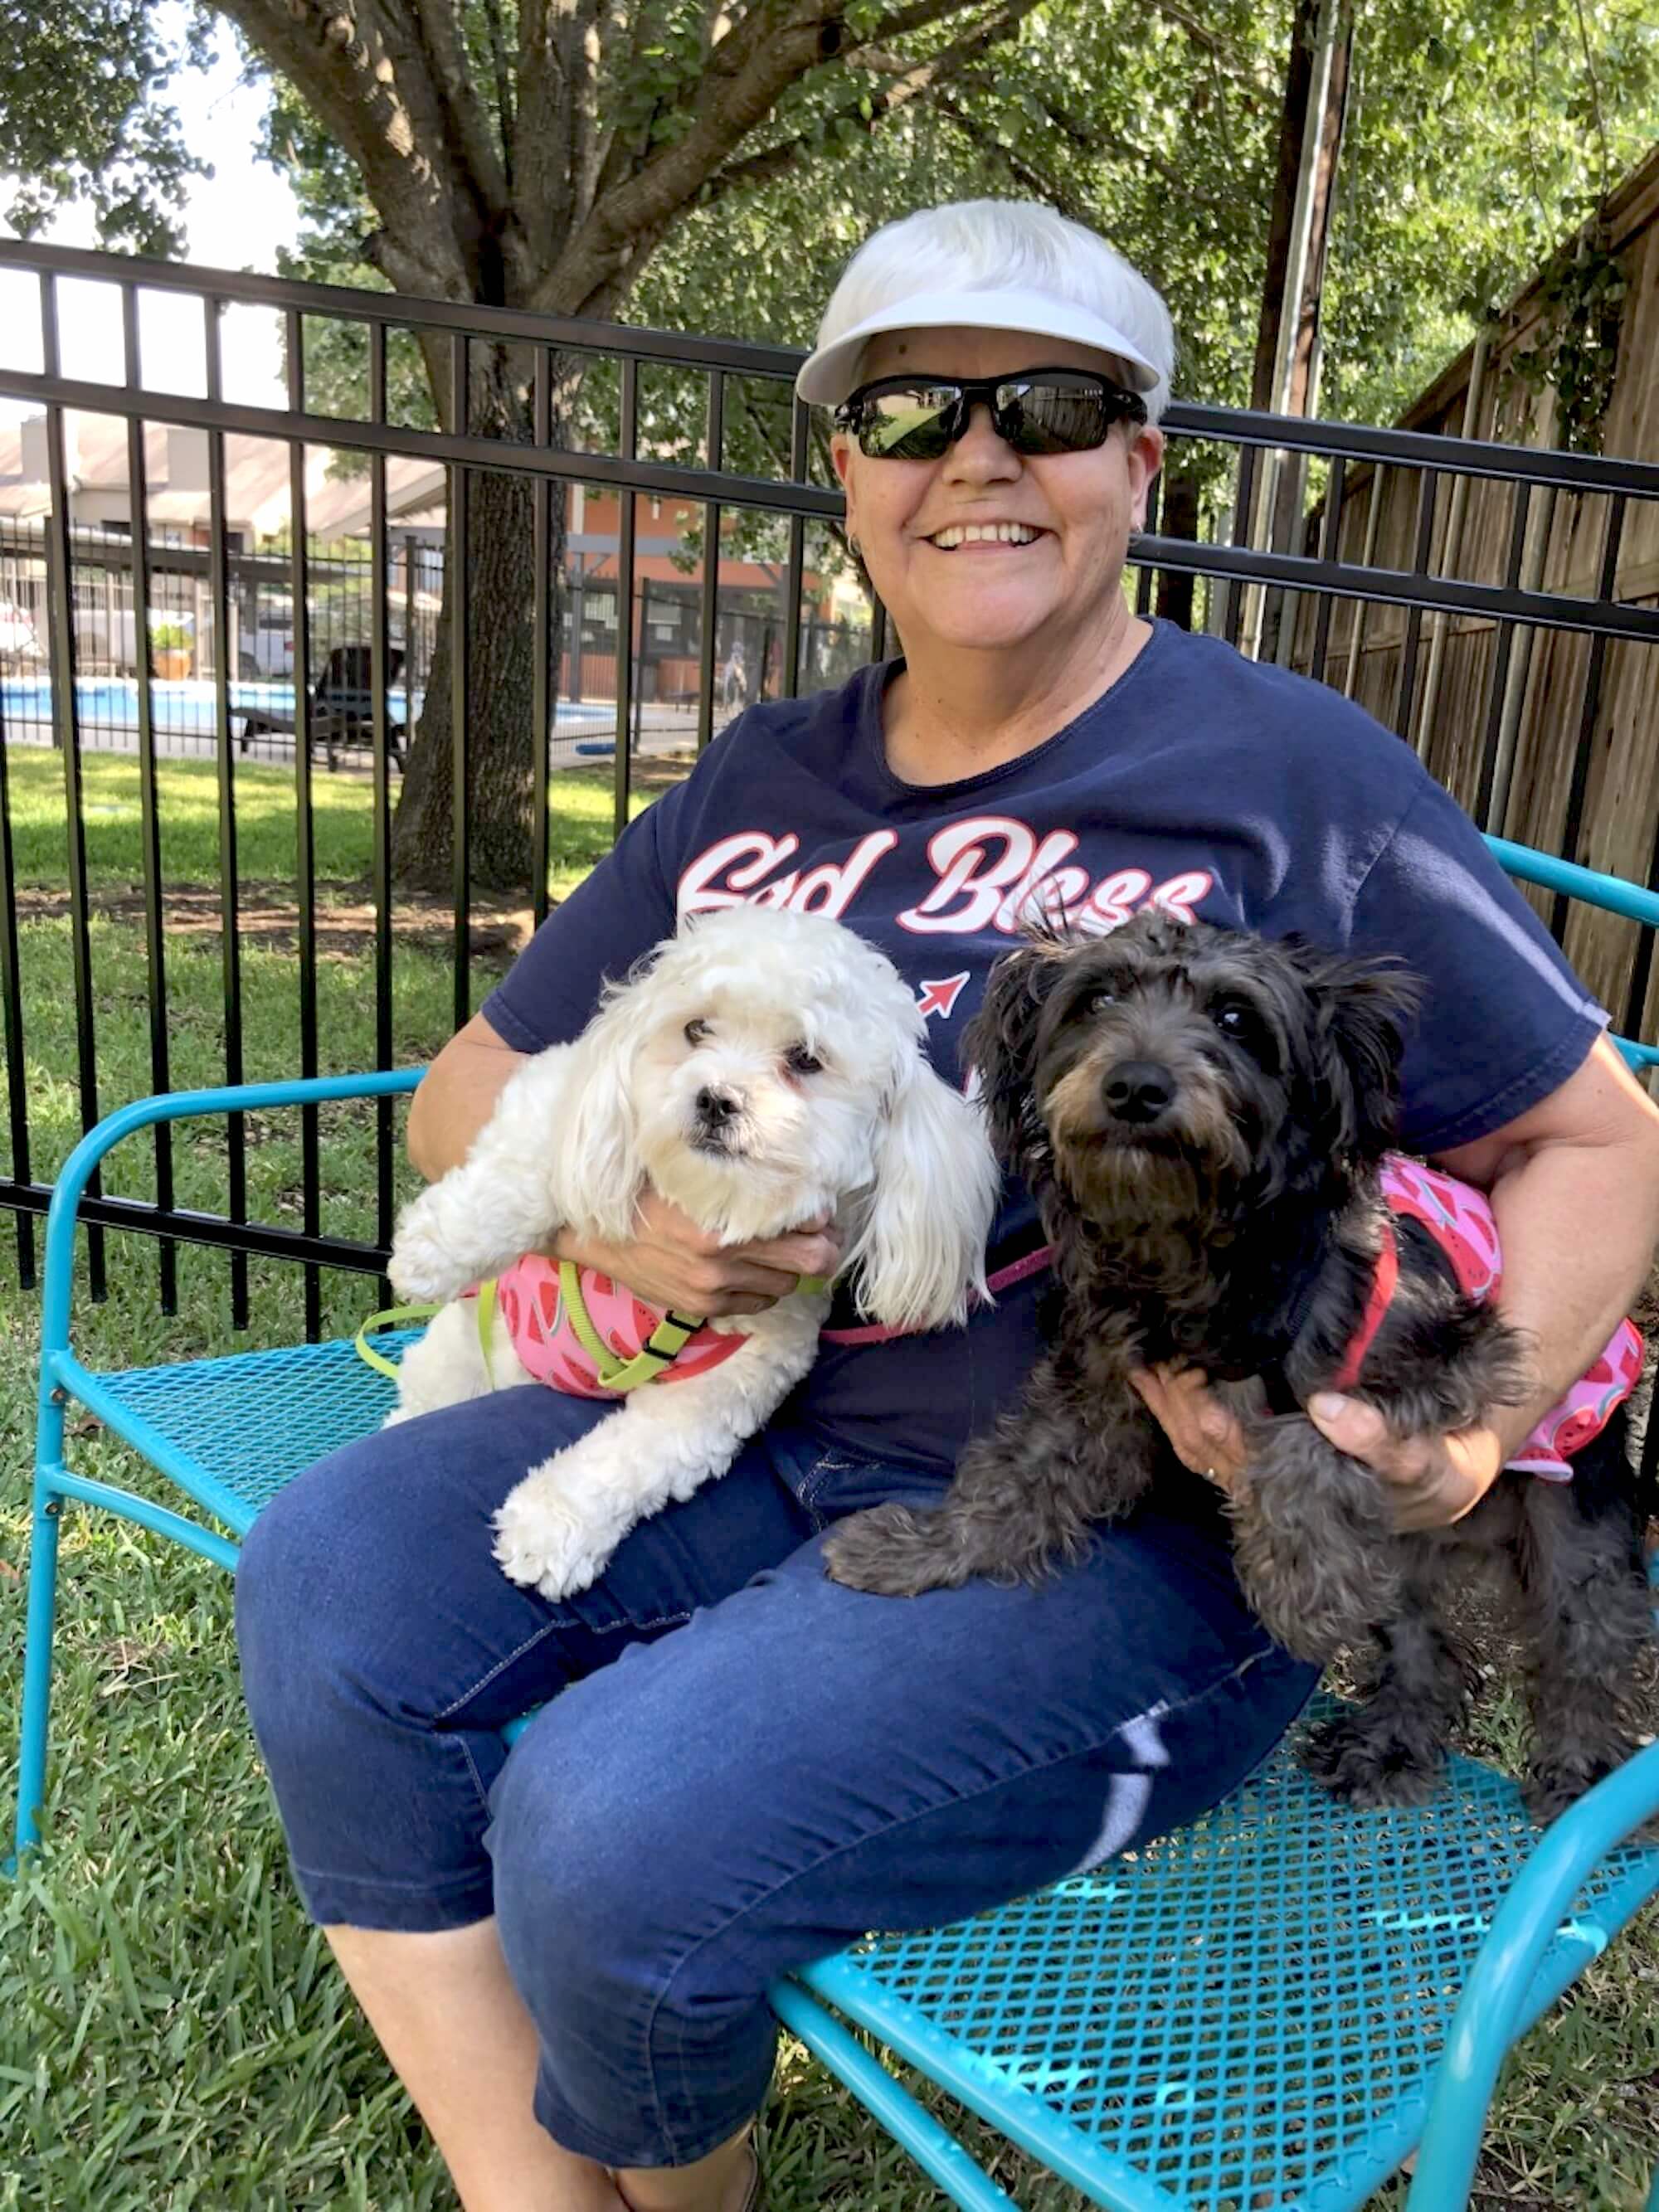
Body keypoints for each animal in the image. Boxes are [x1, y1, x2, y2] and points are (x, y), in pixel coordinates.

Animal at [387, 907, 1000, 1601]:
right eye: (696, 1028)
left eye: (805, 1059)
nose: (715, 1097)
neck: (712, 1205)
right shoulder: (561, 1082)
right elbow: (527, 1162)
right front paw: (434, 1247)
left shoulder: (728, 1383)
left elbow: (630, 1457)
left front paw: (549, 1527)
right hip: (456, 1354)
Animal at [827, 907, 1654, 1822]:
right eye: (1096, 998)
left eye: (1235, 1020)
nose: (1136, 1085)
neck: (1193, 1246)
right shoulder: (1101, 1393)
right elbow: (1014, 1476)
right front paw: (919, 1547)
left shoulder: (1443, 1357)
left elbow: (1302, 1442)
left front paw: (1300, 1583)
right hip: (1404, 1559)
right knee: (1422, 1646)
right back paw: (1389, 1745)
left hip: (1573, 1525)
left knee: (1585, 1648)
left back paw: (1577, 1770)